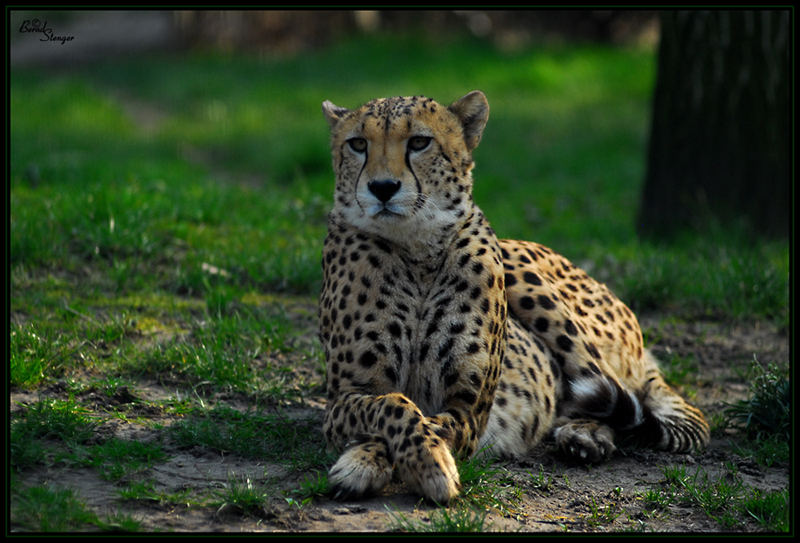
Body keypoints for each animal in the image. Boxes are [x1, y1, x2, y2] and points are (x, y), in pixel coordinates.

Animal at [316, 91, 708, 504]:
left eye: (420, 142)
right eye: (358, 144)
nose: (382, 187)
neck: (417, 249)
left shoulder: (470, 413)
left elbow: (428, 421)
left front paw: (426, 464)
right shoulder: (343, 398)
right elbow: (394, 405)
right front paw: (370, 460)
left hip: (528, 278)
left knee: (615, 392)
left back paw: (585, 435)